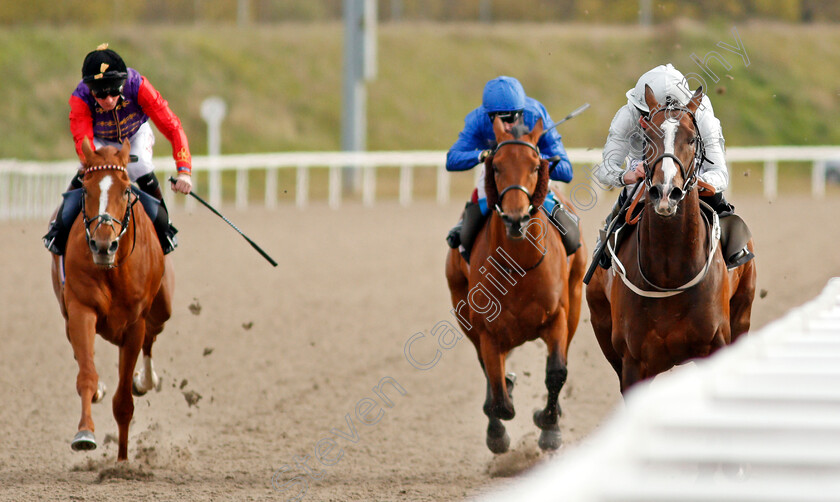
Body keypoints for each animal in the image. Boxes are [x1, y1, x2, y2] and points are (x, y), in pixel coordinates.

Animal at [48, 139, 172, 460]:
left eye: (126, 190)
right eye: (86, 190)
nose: (103, 245)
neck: (112, 269)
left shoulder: (134, 323)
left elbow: (124, 401)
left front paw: (123, 459)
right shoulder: (81, 308)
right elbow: (86, 374)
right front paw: (84, 433)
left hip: (161, 308)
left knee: (152, 337)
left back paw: (145, 380)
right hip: (67, 311)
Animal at [442, 118, 588, 454]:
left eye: (535, 166)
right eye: (495, 166)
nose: (515, 219)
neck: (518, 266)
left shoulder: (558, 317)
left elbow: (556, 373)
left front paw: (549, 426)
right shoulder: (487, 329)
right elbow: (498, 394)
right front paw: (497, 429)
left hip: (575, 301)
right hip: (462, 309)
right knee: (488, 371)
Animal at [588, 85, 756, 392]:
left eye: (691, 139)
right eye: (647, 137)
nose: (666, 193)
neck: (670, 274)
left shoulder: (716, 345)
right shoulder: (633, 364)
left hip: (742, 312)